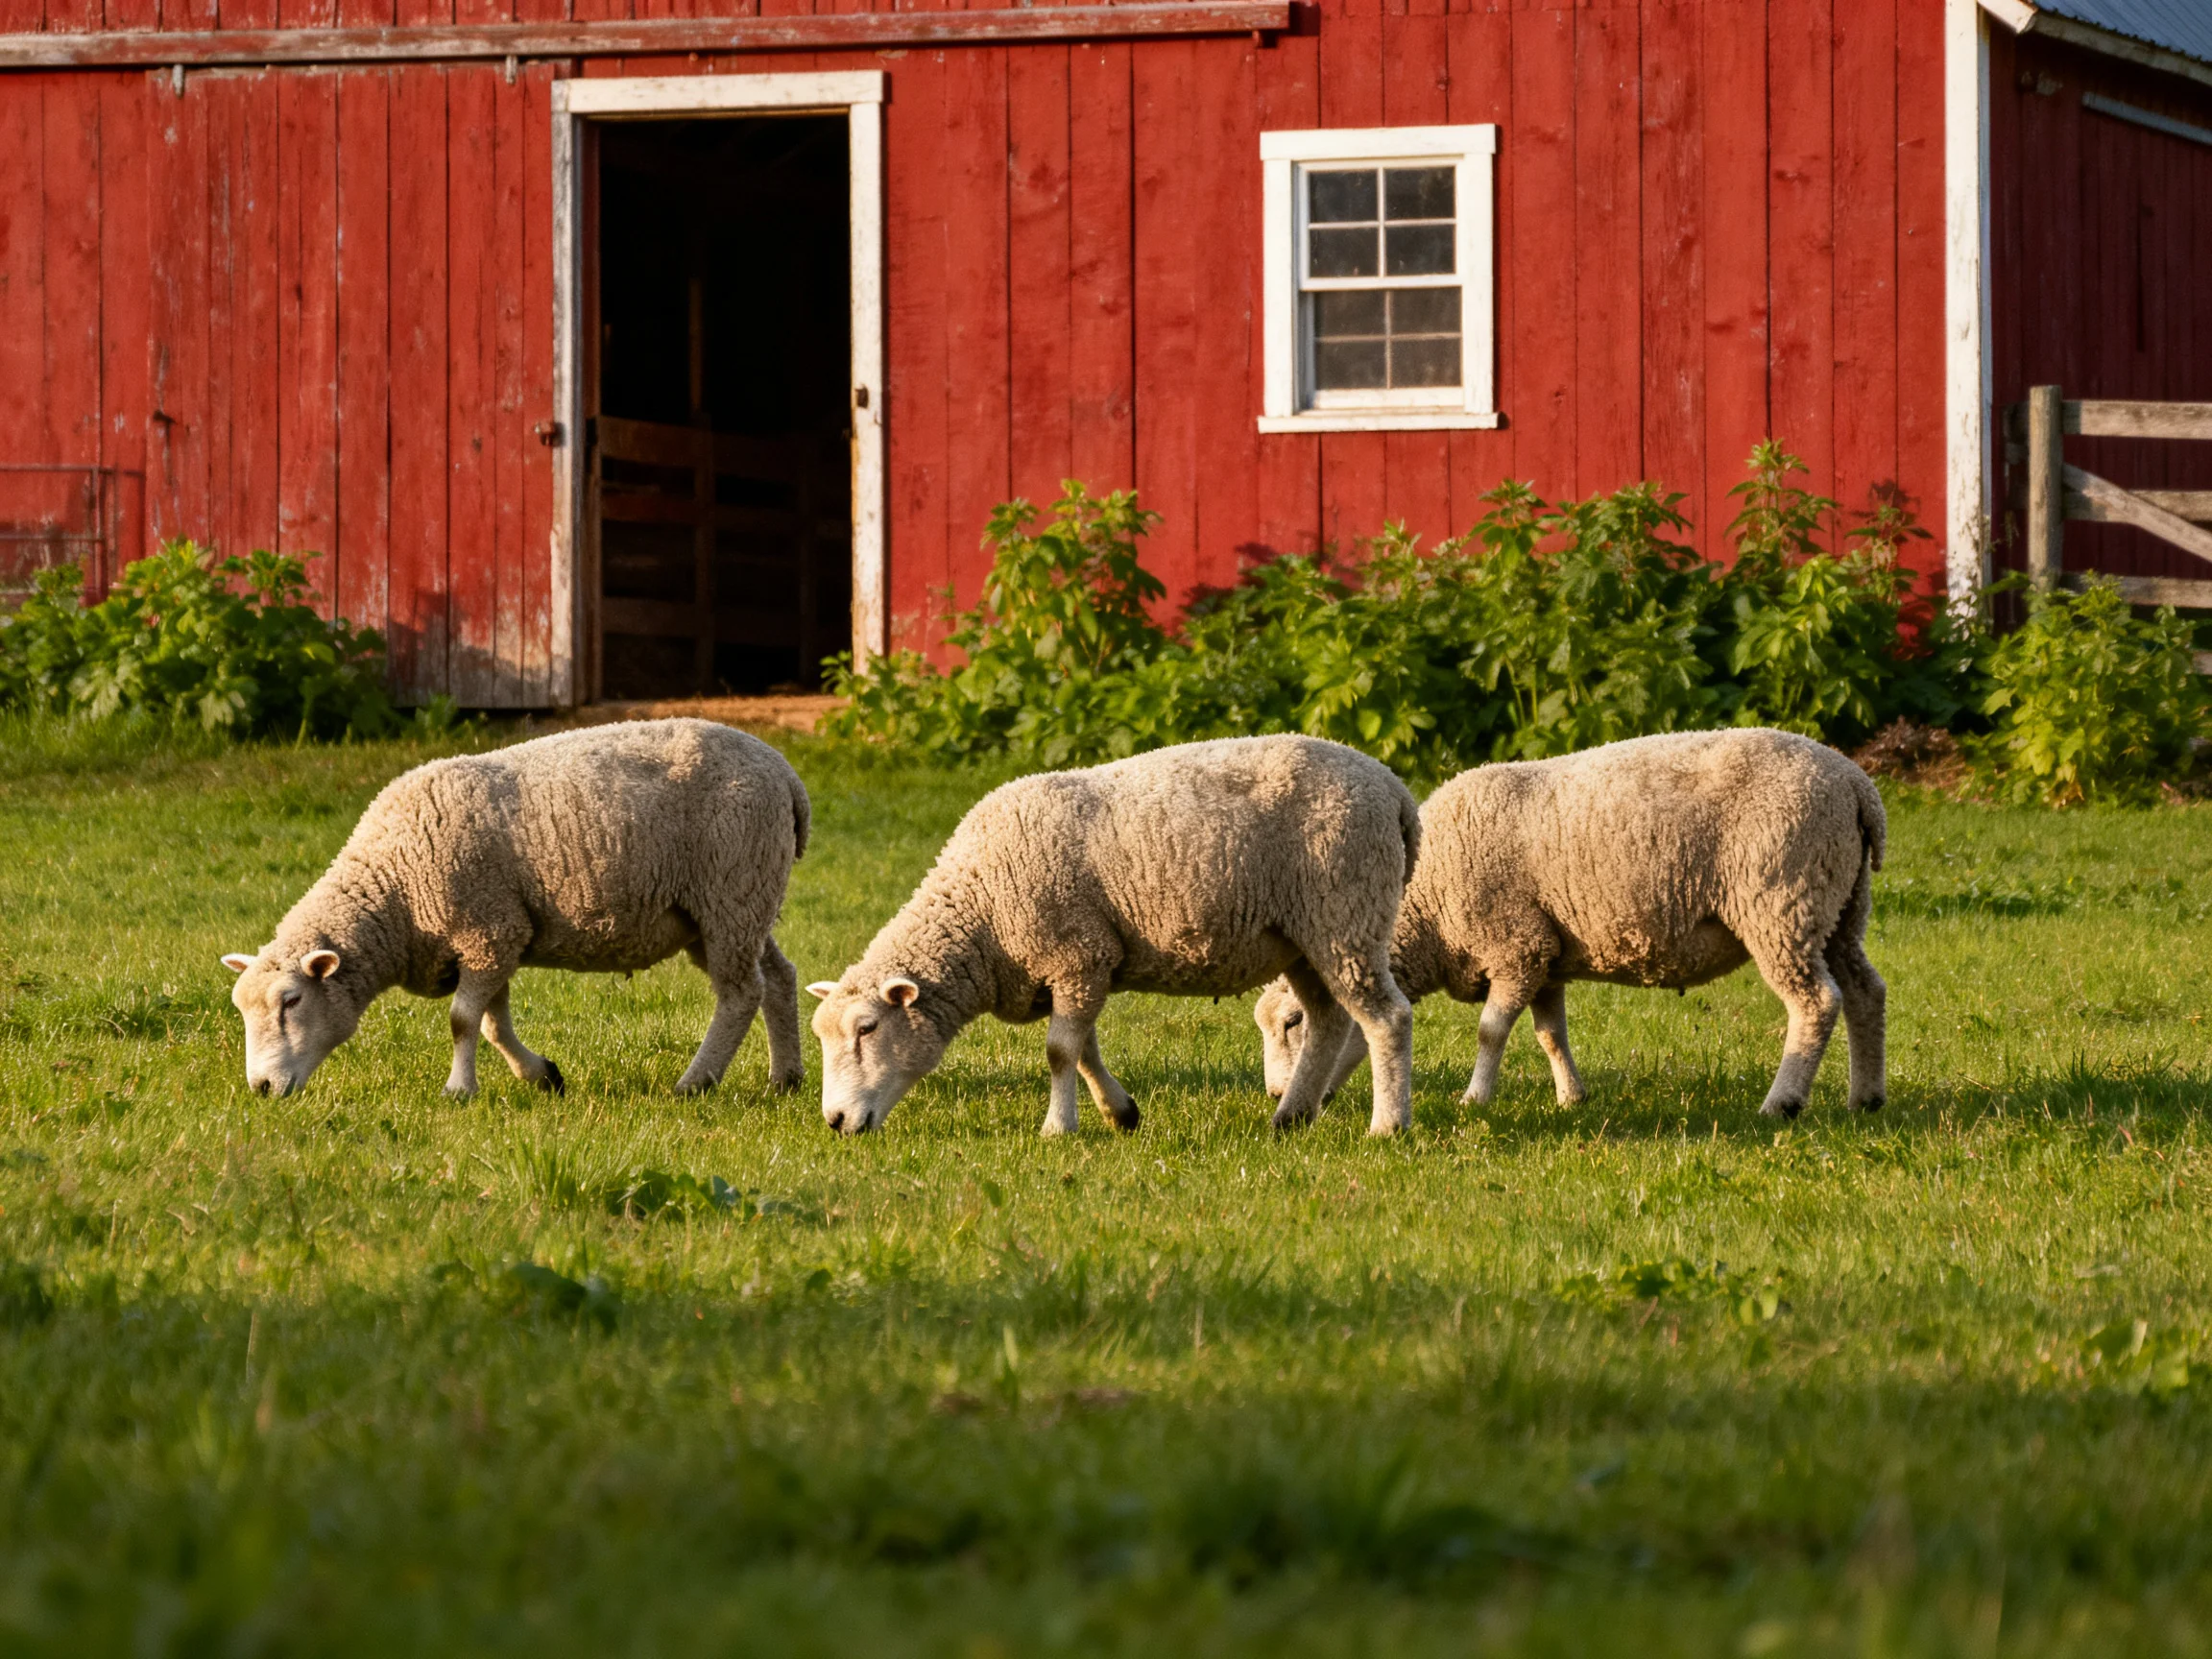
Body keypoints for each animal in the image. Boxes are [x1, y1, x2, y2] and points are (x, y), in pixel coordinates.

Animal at [221, 718, 809, 1100]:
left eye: (291, 1001)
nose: (262, 1088)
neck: (396, 890)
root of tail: (785, 772)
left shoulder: (488, 929)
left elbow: (462, 1020)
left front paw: (458, 1090)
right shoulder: (494, 938)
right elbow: (491, 1024)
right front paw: (542, 1075)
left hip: (731, 891)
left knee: (740, 993)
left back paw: (696, 1082)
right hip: (735, 903)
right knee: (778, 978)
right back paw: (786, 1078)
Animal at [806, 734, 1422, 1138]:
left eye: (867, 1029)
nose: (835, 1121)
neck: (982, 912)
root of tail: (1392, 787)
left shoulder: (1077, 955)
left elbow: (1059, 1051)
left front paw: (1059, 1128)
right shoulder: (1077, 967)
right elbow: (1082, 1049)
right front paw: (1121, 1113)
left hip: (1345, 913)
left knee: (1386, 1018)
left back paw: (1387, 1126)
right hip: (1306, 936)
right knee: (1328, 1020)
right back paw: (1290, 1118)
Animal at [1255, 727, 1886, 1119]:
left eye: (1293, 1023)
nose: (1280, 1095)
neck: (1427, 907)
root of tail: (1856, 784)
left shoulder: (1516, 945)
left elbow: (1490, 1031)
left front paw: (1475, 1099)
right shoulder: (1547, 956)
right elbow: (1550, 1034)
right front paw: (1571, 1098)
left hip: (1781, 901)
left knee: (1816, 1002)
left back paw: (1783, 1103)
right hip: (1840, 909)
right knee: (1865, 993)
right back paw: (1866, 1097)